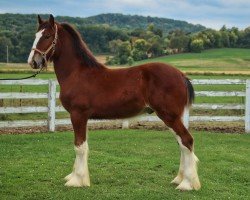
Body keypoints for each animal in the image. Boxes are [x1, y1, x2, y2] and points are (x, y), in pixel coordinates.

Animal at [27, 14, 200, 191]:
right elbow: (82, 145)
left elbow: (79, 147)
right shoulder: (83, 117)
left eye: (47, 36)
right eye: (35, 35)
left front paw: (77, 180)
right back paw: (179, 179)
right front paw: (76, 176)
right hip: (171, 117)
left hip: (169, 116)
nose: (33, 61)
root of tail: (181, 75)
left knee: (187, 141)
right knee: (181, 143)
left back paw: (187, 183)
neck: (77, 73)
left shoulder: (78, 115)